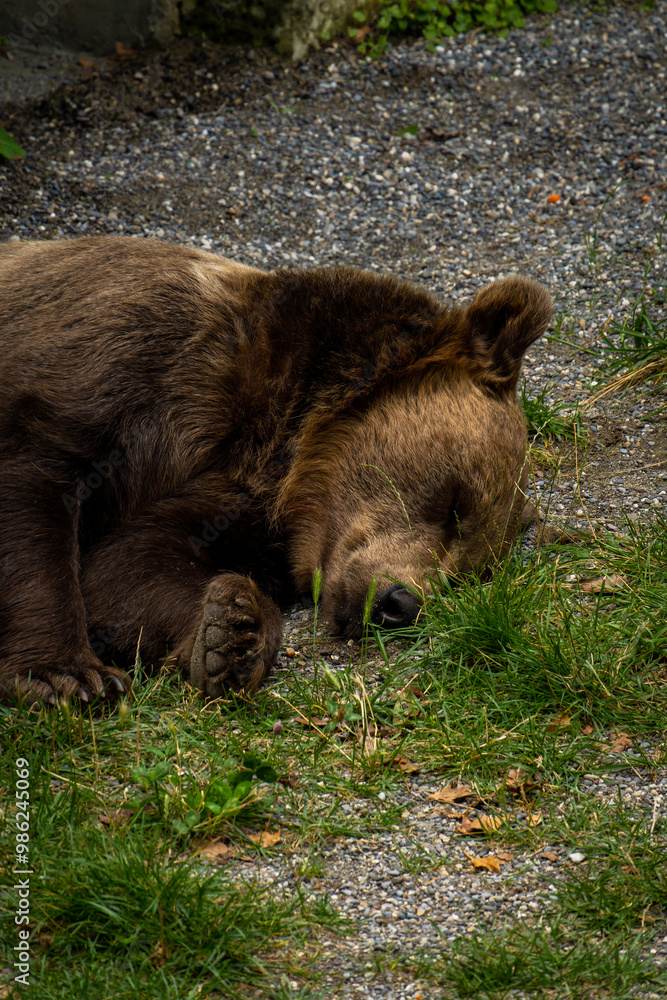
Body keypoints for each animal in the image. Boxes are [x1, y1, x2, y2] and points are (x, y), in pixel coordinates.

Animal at [0, 236, 552, 705]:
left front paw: (230, 634)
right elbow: (36, 483)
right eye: (455, 502)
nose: (401, 603)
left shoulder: (243, 502)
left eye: (470, 572)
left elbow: (133, 564)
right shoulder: (128, 347)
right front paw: (66, 675)